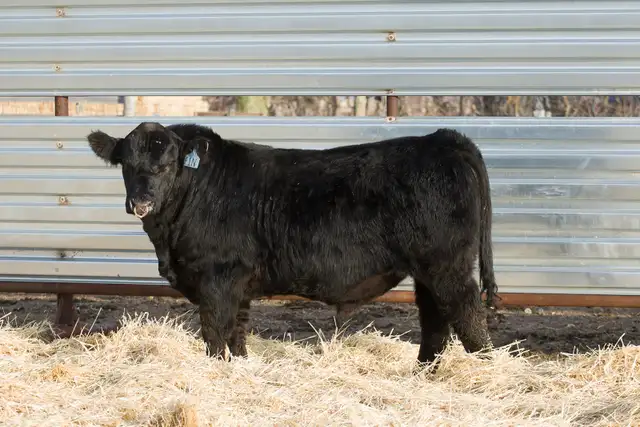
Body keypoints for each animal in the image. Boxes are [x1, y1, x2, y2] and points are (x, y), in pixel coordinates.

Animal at [86, 121, 499, 368]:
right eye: (126, 164)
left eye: (168, 163)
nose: (141, 202)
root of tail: (442, 139)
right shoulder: (239, 282)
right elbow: (237, 331)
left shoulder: (217, 277)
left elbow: (215, 331)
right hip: (428, 270)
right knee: (435, 320)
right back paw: (424, 372)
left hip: (446, 265)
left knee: (467, 314)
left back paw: (484, 371)